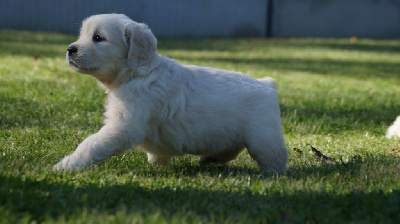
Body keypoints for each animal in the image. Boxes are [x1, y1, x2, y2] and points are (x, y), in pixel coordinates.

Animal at [52, 13, 288, 172]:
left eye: (98, 38)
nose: (70, 49)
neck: (138, 73)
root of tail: (266, 84)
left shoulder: (124, 126)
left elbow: (91, 144)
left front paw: (65, 166)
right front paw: (159, 164)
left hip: (263, 137)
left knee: (276, 157)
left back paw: (273, 175)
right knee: (231, 149)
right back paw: (209, 159)